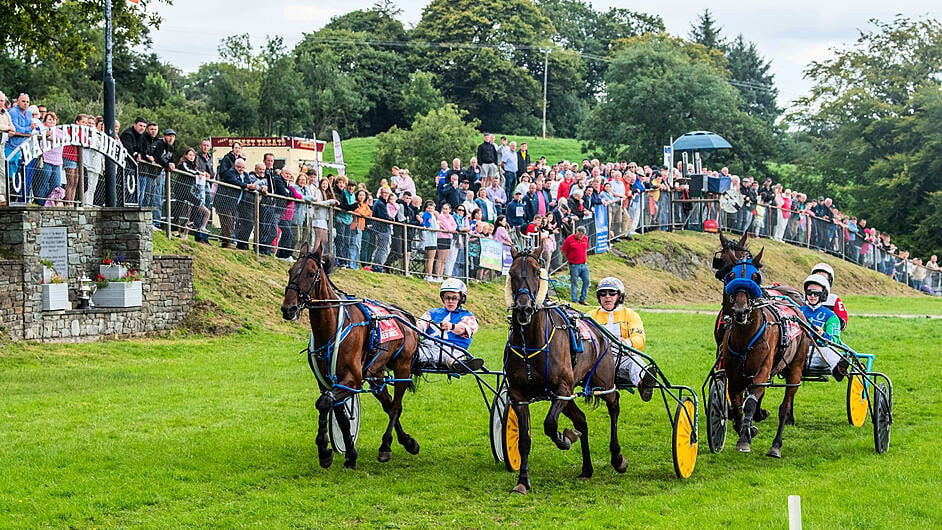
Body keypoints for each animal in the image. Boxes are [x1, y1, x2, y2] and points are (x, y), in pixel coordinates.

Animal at [280, 242, 420, 466]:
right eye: (290, 271)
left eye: (311, 273)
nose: (288, 308)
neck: (331, 327)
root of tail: (403, 315)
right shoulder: (328, 381)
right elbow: (338, 414)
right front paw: (348, 452)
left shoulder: (352, 379)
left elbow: (324, 403)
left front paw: (325, 450)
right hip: (376, 375)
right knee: (389, 405)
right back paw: (407, 442)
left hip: (403, 368)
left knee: (396, 407)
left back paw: (386, 446)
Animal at [502, 245, 628, 492]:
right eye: (511, 273)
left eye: (537, 272)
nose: (523, 309)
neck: (531, 342)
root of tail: (600, 333)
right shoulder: (519, 396)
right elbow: (524, 441)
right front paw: (522, 481)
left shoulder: (561, 389)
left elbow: (550, 425)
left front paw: (564, 438)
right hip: (569, 396)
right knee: (582, 420)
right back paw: (587, 468)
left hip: (602, 382)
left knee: (614, 404)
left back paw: (617, 458)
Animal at [724, 254, 812, 456]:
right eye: (731, 275)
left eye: (756, 277)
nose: (740, 311)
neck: (745, 336)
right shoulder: (734, 376)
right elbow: (736, 405)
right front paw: (747, 429)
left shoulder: (762, 370)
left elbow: (749, 403)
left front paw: (744, 439)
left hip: (796, 368)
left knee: (785, 407)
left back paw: (776, 445)